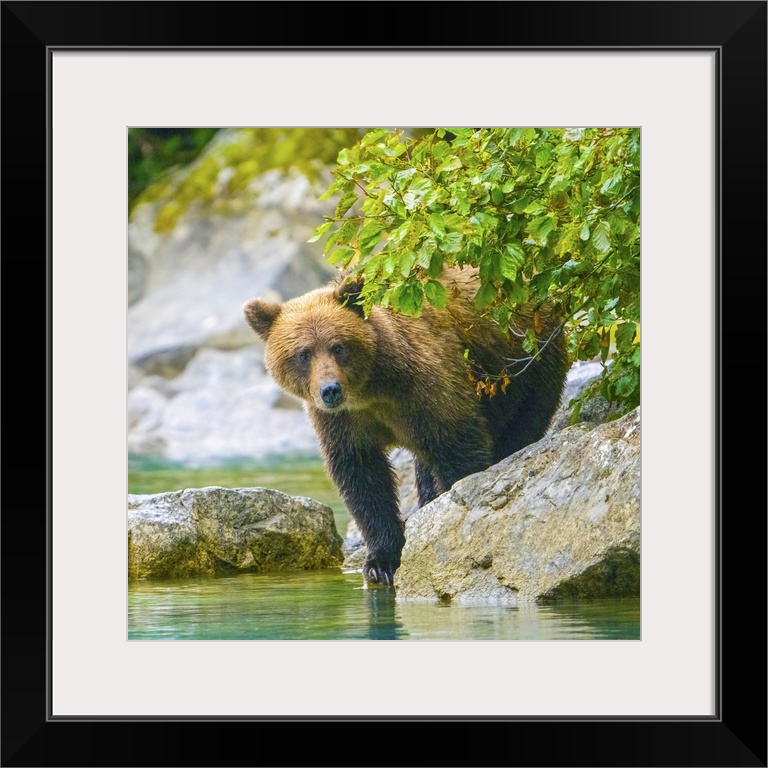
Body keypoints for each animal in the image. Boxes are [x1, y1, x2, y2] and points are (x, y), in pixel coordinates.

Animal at [246, 268, 568, 584]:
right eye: (303, 353)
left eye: (338, 347)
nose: (330, 390)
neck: (373, 388)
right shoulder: (343, 423)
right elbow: (363, 478)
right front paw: (381, 562)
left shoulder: (426, 387)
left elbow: (458, 446)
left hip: (527, 364)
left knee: (521, 425)